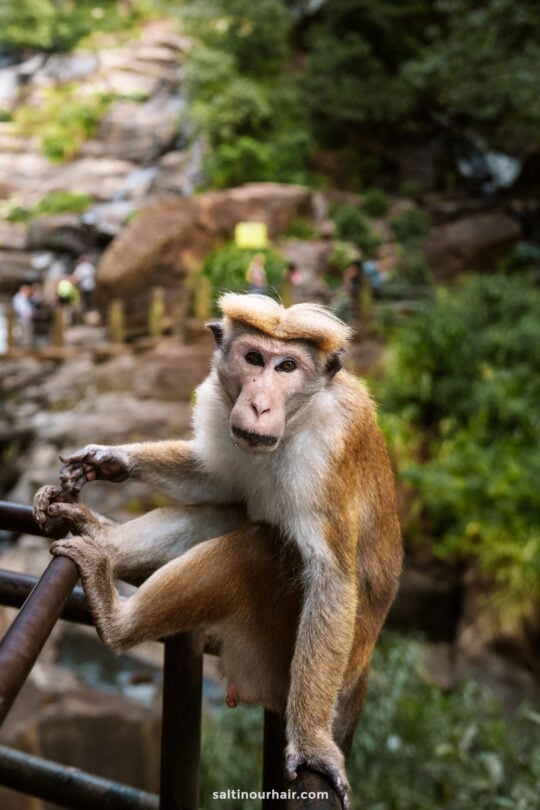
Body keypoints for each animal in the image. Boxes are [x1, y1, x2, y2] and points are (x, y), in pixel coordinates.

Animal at [33, 292, 402, 809]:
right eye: (254, 359)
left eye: (287, 366)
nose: (259, 404)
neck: (298, 420)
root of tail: (358, 678)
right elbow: (216, 478)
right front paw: (112, 459)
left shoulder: (325, 452)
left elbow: (330, 577)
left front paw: (311, 746)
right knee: (230, 513)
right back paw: (102, 541)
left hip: (271, 662)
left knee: (255, 548)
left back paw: (115, 620)